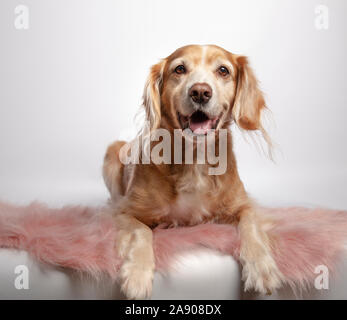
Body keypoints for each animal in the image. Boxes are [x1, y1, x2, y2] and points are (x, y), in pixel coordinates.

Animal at [102, 43, 284, 298]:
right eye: (179, 69)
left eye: (223, 70)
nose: (200, 92)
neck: (194, 158)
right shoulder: (124, 212)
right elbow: (141, 232)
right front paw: (137, 274)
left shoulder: (245, 205)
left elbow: (252, 227)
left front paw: (262, 268)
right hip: (112, 152)